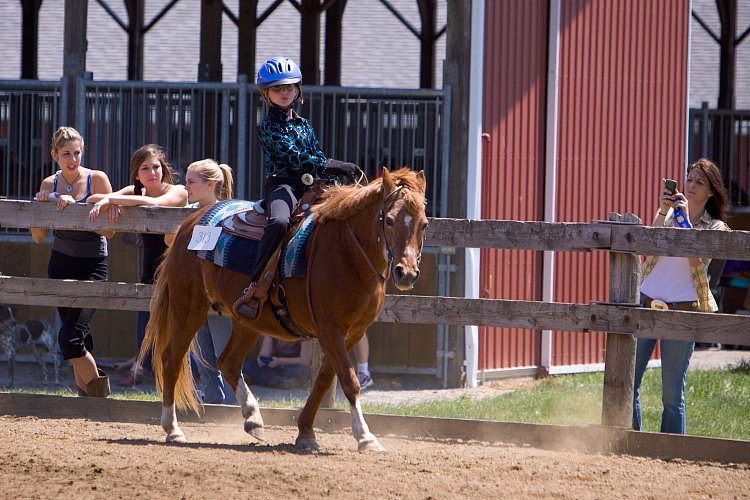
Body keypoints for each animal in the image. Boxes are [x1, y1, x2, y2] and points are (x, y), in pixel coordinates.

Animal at [137, 167, 426, 450]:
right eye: (389, 220)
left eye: (424, 224)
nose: (406, 274)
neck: (345, 251)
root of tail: (189, 223)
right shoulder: (329, 329)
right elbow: (348, 380)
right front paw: (365, 436)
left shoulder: (351, 333)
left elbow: (323, 379)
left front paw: (306, 432)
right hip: (189, 307)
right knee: (171, 360)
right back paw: (173, 429)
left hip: (248, 321)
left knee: (228, 361)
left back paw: (253, 418)